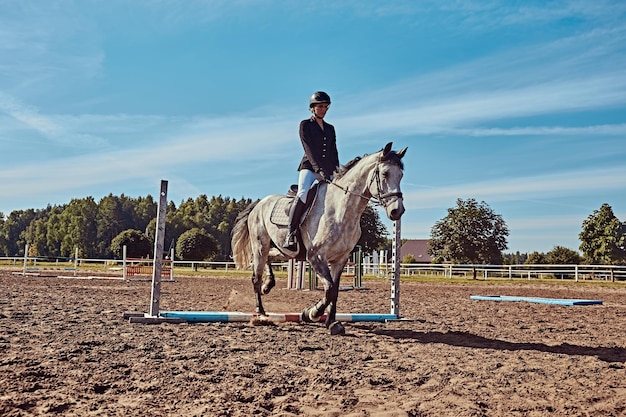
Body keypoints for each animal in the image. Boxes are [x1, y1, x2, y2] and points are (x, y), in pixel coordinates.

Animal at [229, 143, 404, 334]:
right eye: (385, 173)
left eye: (401, 175)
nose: (397, 211)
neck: (342, 210)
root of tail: (259, 203)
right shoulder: (316, 257)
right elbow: (329, 290)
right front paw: (311, 313)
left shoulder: (340, 259)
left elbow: (335, 291)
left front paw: (332, 322)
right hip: (260, 245)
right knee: (256, 276)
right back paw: (260, 312)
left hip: (285, 251)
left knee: (270, 258)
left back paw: (268, 285)